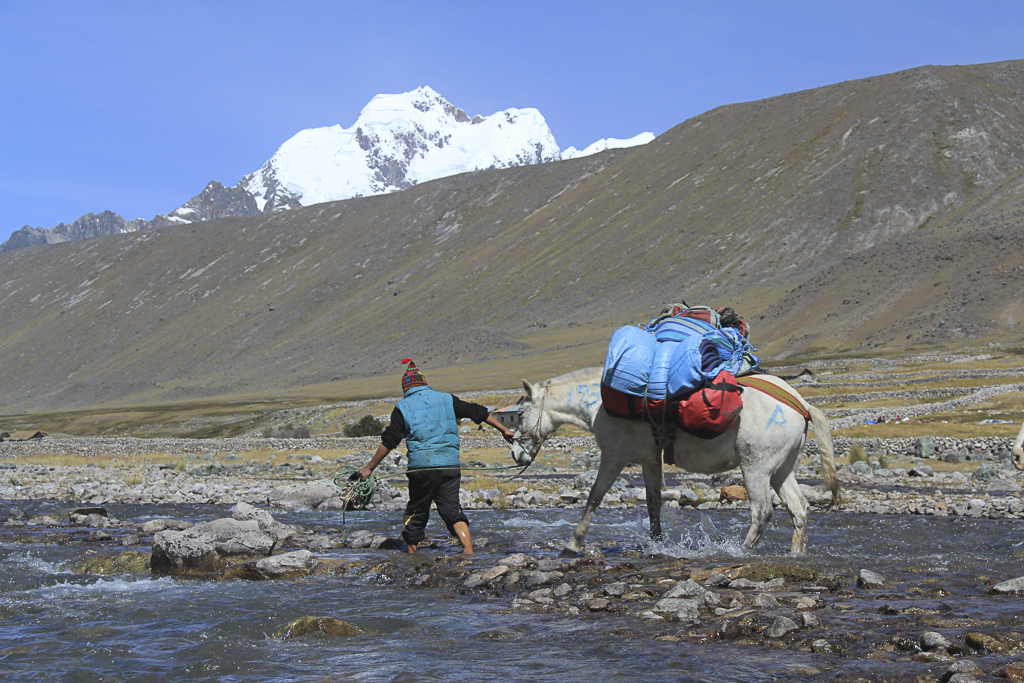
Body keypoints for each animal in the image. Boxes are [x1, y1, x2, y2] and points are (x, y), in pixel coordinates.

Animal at [512, 368, 839, 557]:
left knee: (762, 512)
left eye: (520, 414)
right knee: (799, 509)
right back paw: (796, 554)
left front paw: (572, 545)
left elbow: (594, 497)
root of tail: (799, 404)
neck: (598, 403)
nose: (516, 453)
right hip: (782, 470)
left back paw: (741, 551)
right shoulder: (649, 460)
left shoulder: (614, 457)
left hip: (755, 468)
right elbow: (653, 504)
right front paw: (656, 544)